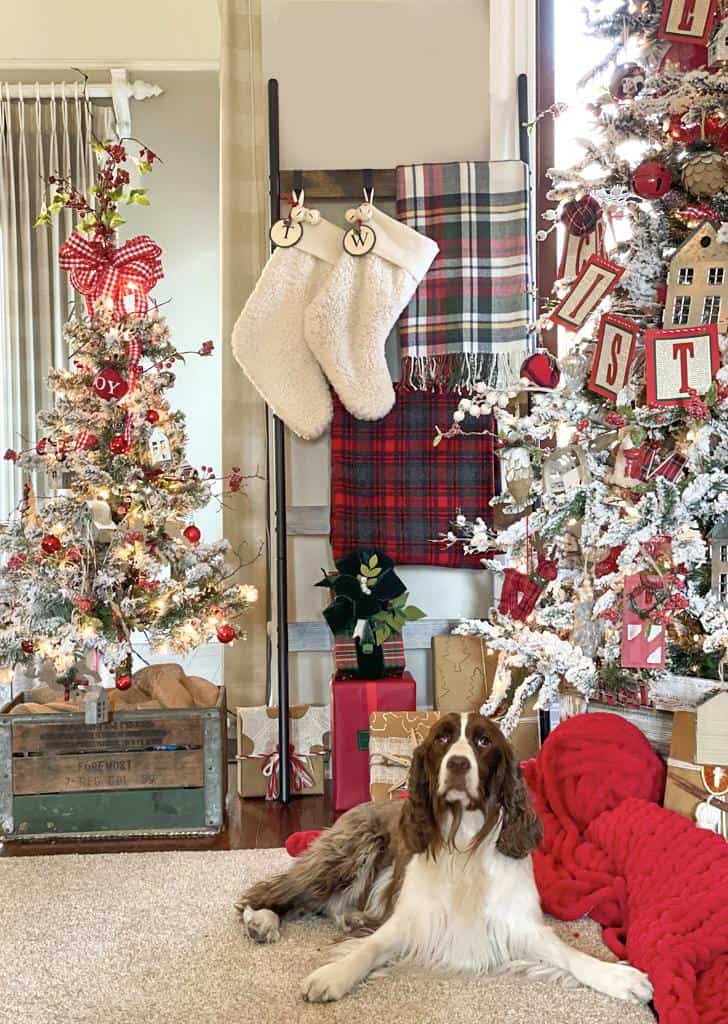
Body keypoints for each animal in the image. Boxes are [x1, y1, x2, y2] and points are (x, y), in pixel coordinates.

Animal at [239, 712, 655, 1007]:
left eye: (483, 741)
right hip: (350, 849)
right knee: (267, 893)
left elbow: (568, 954)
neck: (464, 842)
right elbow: (370, 948)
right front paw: (333, 974)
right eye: (442, 738)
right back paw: (262, 921)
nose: (457, 764)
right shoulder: (412, 920)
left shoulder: (518, 925)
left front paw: (618, 977)